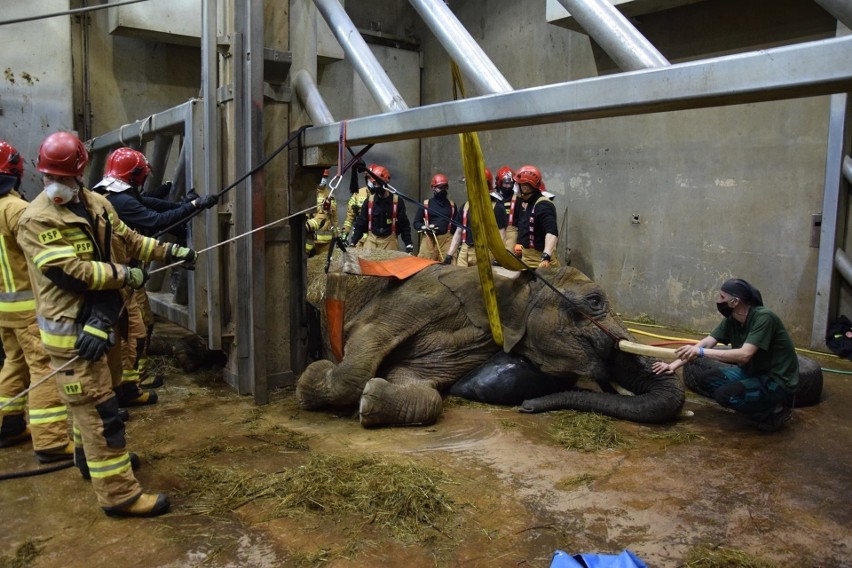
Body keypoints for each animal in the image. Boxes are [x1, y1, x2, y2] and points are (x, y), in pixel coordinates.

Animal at [296, 251, 684, 428]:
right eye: (595, 302)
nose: (526, 407)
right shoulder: (415, 298)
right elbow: (368, 338)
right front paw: (309, 380)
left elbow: (421, 389)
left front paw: (371, 402)